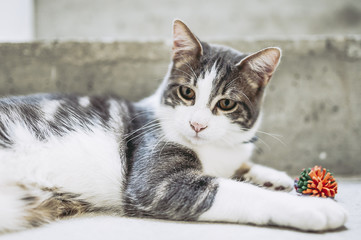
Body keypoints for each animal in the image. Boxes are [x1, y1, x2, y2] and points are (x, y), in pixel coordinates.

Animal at [0, 19, 346, 233]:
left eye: (226, 104)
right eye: (187, 93)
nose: (197, 124)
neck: (213, 148)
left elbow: (239, 165)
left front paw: (272, 175)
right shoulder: (154, 182)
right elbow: (229, 189)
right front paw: (314, 209)